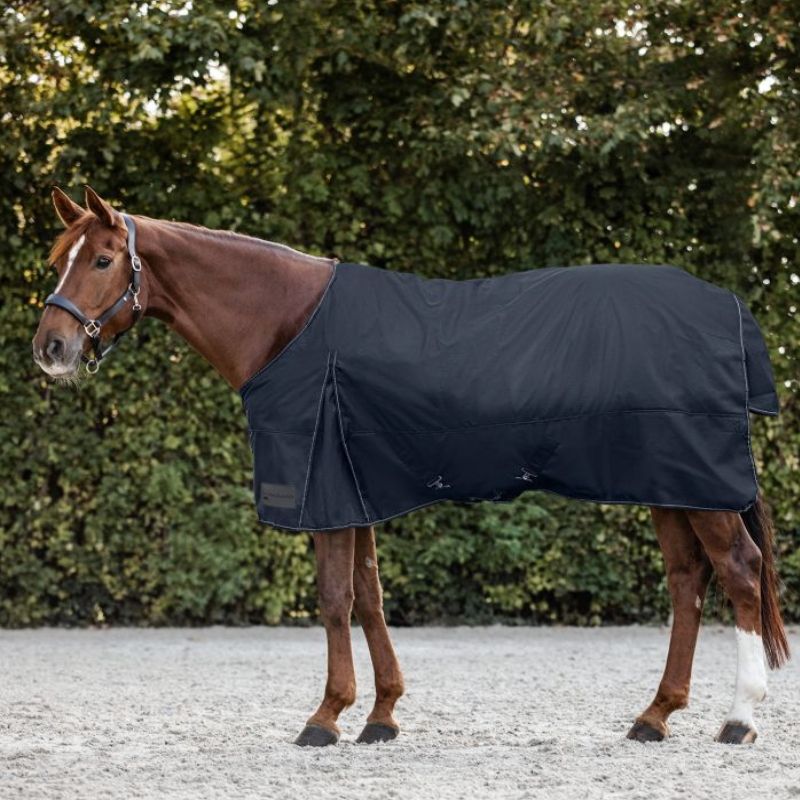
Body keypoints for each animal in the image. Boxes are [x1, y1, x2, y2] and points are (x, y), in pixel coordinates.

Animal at [32, 186, 789, 747]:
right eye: (57, 259)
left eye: (103, 260)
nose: (51, 347)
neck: (287, 323)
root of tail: (727, 307)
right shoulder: (353, 488)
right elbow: (368, 596)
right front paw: (382, 714)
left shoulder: (325, 489)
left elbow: (335, 598)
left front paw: (326, 717)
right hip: (671, 485)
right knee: (688, 581)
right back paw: (654, 716)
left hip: (701, 487)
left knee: (740, 571)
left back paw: (739, 719)